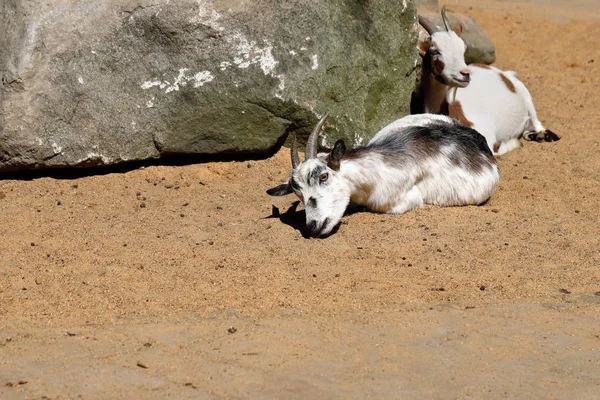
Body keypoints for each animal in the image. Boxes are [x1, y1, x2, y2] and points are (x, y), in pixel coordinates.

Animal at [410, 8, 560, 155]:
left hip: (527, 97)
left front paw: (513, 142)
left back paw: (540, 135)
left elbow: (496, 149)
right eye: (434, 51)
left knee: (536, 122)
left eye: (463, 48)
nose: (465, 74)